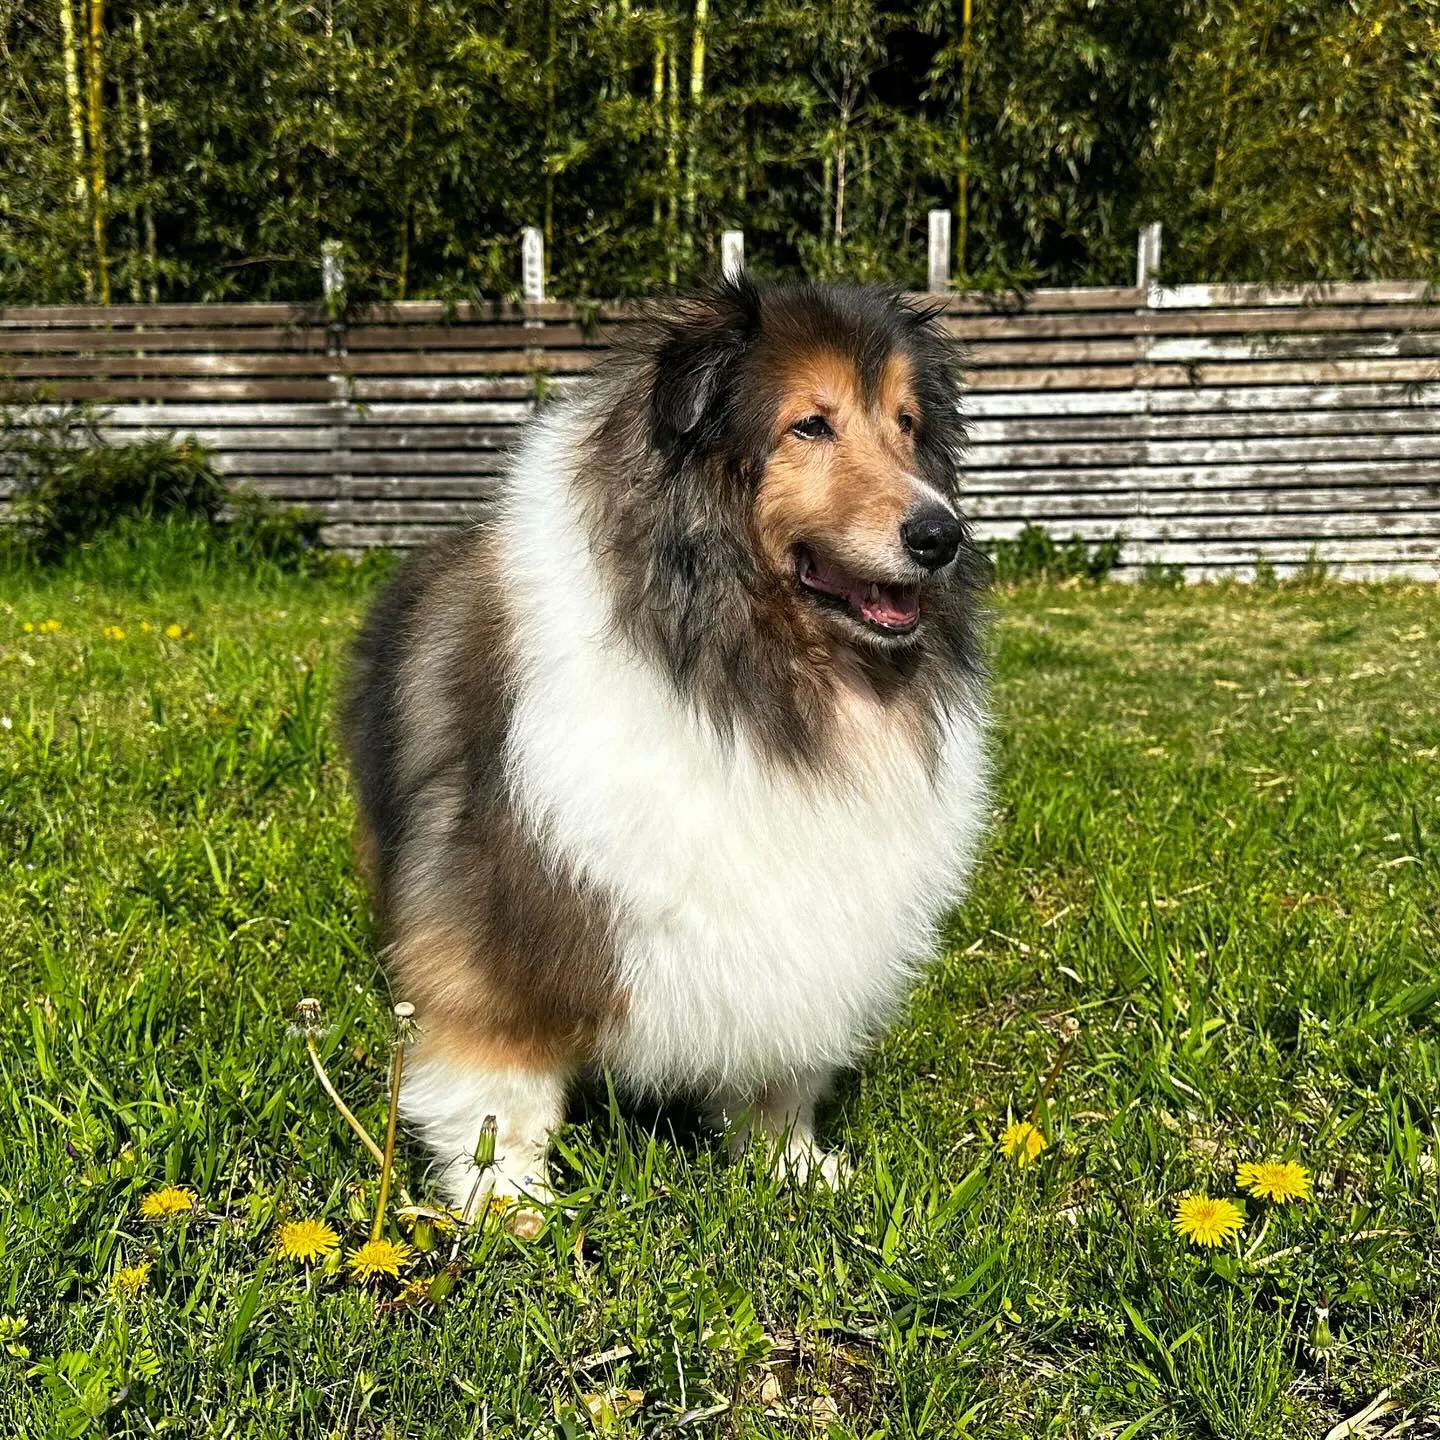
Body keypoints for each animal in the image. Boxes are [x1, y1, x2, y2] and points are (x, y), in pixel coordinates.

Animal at [345, 277, 990, 1203]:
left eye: (906, 424)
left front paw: (793, 1164)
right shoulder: (498, 908)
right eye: (810, 424)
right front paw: (507, 1200)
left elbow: (777, 1066)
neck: (743, 675)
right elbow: (499, 1075)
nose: (942, 536)